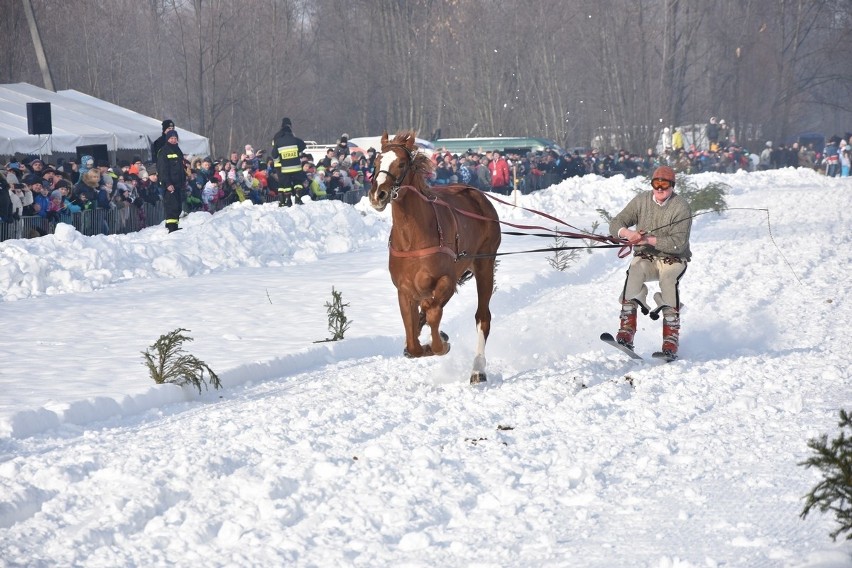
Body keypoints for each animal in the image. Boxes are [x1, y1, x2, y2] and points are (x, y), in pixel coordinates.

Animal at [366, 131, 500, 384]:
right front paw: (418, 341)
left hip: (485, 264)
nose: (378, 195)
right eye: (376, 162)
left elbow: (434, 313)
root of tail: (476, 194)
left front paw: (441, 343)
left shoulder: (446, 280)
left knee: (482, 317)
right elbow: (413, 341)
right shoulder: (404, 290)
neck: (413, 237)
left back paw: (478, 369)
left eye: (401, 163)